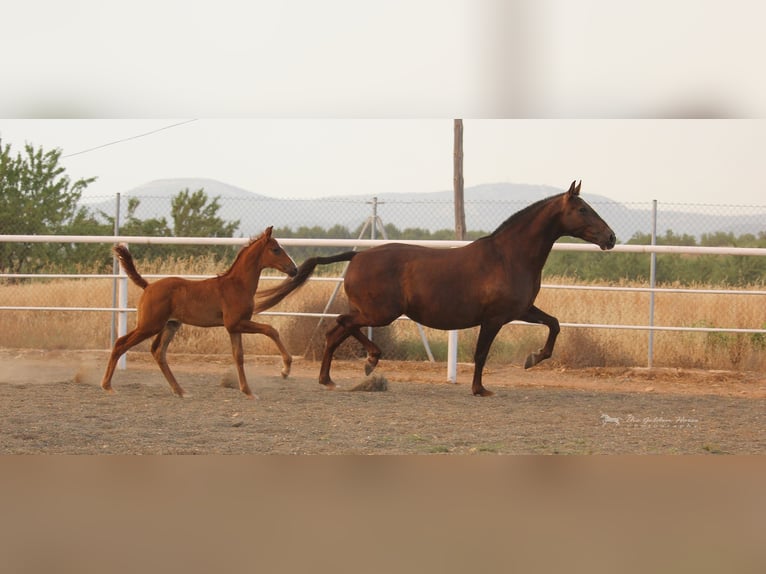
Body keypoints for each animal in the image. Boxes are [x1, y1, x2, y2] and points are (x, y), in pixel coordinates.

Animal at [99, 227, 296, 398]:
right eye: (276, 250)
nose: (294, 269)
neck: (237, 285)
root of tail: (148, 286)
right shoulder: (235, 323)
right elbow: (270, 330)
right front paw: (285, 369)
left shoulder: (234, 328)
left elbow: (238, 356)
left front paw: (248, 392)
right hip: (149, 326)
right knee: (121, 343)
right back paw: (107, 386)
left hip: (170, 325)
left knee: (158, 352)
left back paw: (180, 391)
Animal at [258, 183, 616, 396]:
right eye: (582, 209)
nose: (610, 237)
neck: (508, 255)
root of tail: (357, 255)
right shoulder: (494, 318)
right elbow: (481, 353)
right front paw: (480, 389)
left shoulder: (521, 310)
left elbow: (554, 324)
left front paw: (533, 359)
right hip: (380, 313)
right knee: (340, 326)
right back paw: (356, 366)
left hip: (374, 312)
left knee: (339, 329)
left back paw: (342, 373)